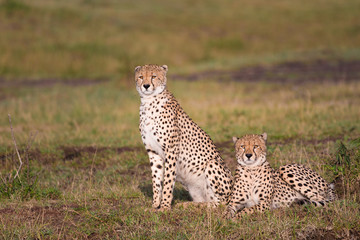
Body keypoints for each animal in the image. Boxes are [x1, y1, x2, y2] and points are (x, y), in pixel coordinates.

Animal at [135, 64, 233, 210]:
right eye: (141, 77)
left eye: (154, 76)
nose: (146, 86)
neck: (149, 101)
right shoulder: (153, 152)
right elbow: (156, 181)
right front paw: (154, 205)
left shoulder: (171, 150)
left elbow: (168, 181)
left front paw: (164, 207)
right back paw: (188, 204)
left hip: (213, 164)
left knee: (222, 203)